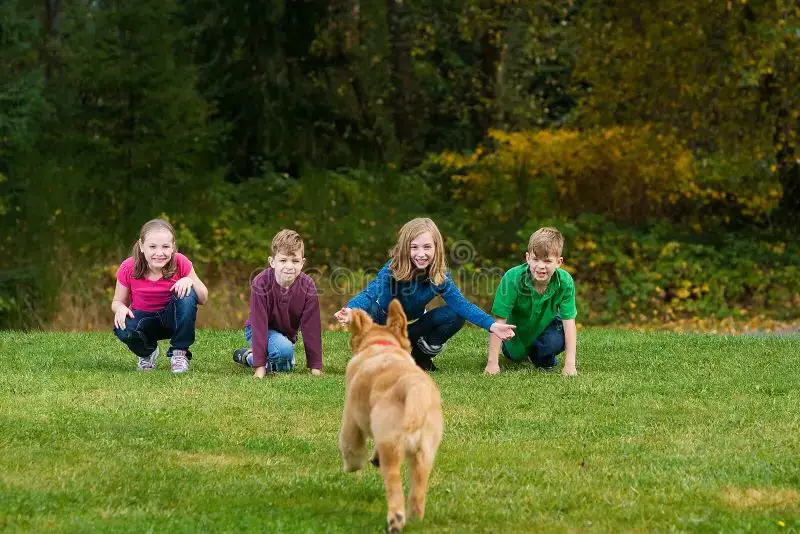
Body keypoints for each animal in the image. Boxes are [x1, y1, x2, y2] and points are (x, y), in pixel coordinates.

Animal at [338, 300, 444, 532]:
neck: (381, 345)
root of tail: (413, 386)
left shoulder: (350, 418)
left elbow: (351, 448)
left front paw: (351, 466)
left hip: (392, 447)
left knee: (394, 483)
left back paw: (395, 519)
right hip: (425, 453)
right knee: (418, 491)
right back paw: (415, 518)